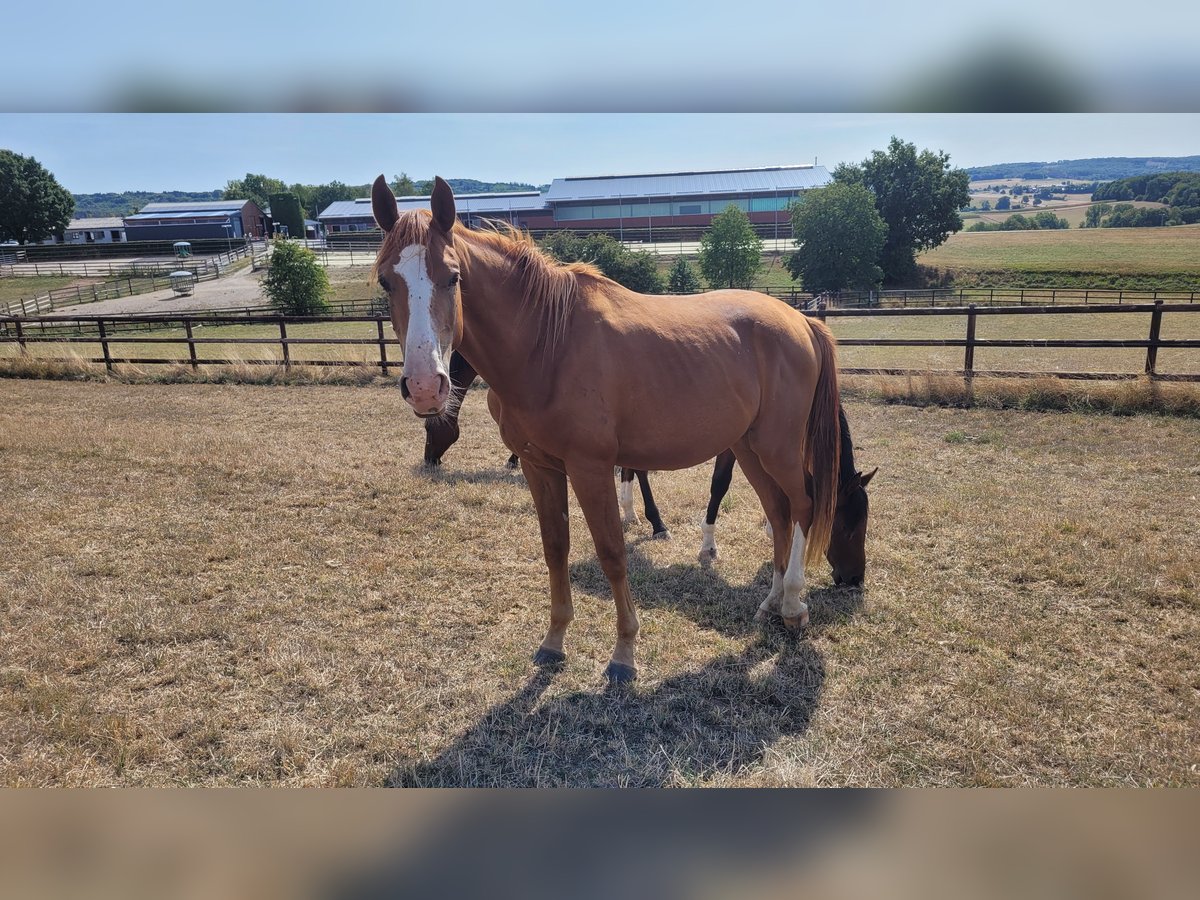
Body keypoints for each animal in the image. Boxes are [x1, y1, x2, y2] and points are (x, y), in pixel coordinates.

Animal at [372, 176, 873, 681]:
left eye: (453, 277)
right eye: (385, 280)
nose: (424, 386)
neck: (547, 345)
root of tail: (802, 321)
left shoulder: (590, 468)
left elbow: (612, 552)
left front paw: (624, 652)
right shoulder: (539, 467)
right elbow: (555, 548)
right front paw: (554, 640)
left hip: (778, 448)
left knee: (804, 506)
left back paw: (792, 607)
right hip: (749, 448)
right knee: (779, 512)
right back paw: (771, 603)